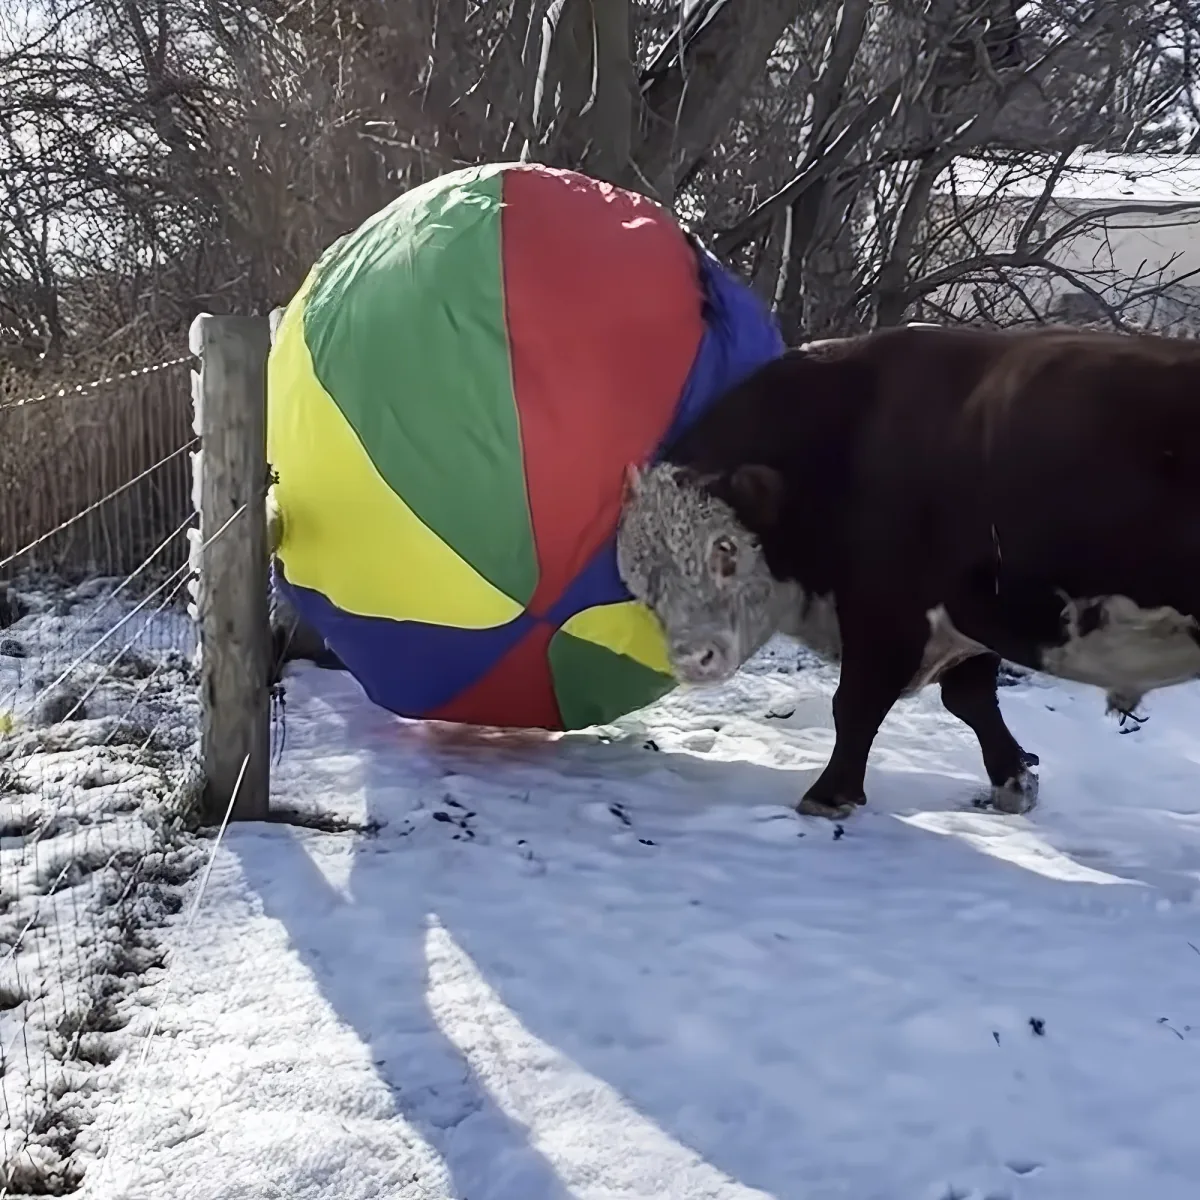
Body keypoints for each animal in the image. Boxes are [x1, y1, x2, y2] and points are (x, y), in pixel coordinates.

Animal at [615, 322, 1200, 819]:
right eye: (643, 583)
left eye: (726, 548)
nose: (693, 658)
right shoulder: (968, 615)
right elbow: (970, 701)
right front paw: (1015, 781)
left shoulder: (887, 610)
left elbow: (856, 704)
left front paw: (828, 795)